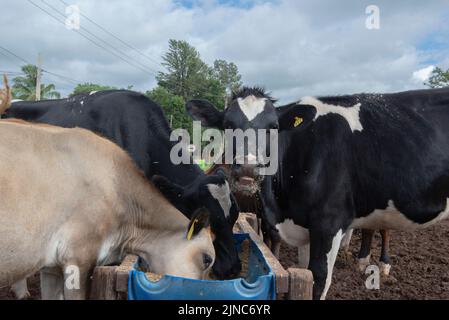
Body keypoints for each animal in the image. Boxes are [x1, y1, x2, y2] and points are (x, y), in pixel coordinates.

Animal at [187, 86, 448, 298]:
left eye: (273, 127)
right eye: (227, 125)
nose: (249, 167)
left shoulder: (328, 224)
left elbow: (319, 282)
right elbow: (305, 271)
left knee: (383, 230)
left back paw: (382, 265)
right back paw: (363, 262)